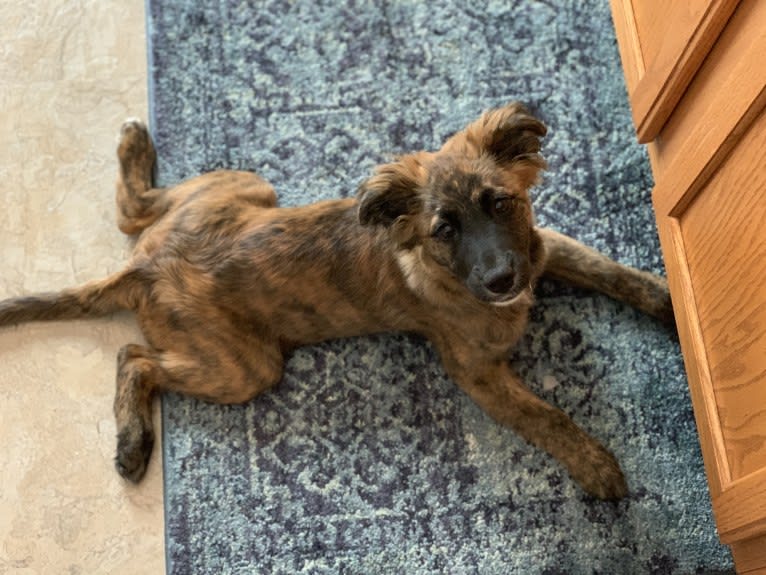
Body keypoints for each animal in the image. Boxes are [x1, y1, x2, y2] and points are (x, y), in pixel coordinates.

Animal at [0, 103, 672, 500]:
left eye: (500, 203)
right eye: (444, 230)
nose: (504, 280)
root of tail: (144, 266)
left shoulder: (543, 247)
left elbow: (610, 269)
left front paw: (669, 301)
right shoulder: (477, 373)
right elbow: (547, 416)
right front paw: (595, 465)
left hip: (242, 186)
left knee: (131, 210)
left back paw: (136, 148)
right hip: (246, 366)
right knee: (134, 358)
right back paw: (133, 442)